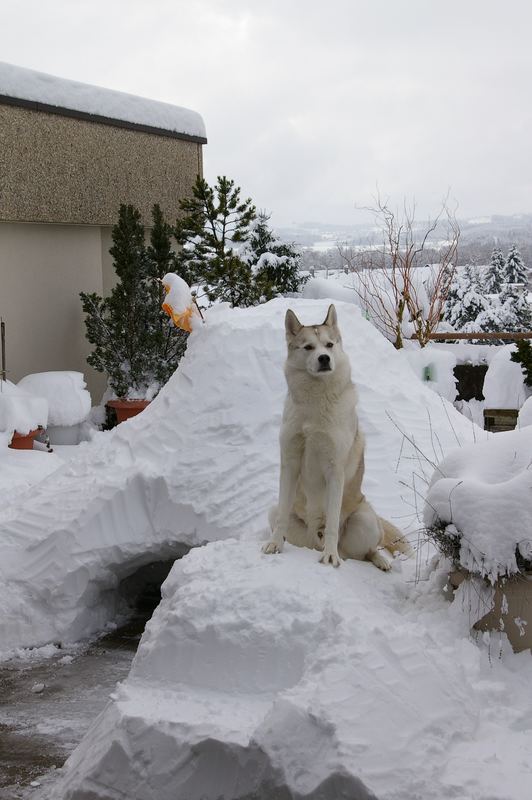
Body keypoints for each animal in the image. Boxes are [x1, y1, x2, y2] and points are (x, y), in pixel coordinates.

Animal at [262, 302, 412, 568]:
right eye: (308, 347)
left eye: (329, 345)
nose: (324, 358)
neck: (315, 404)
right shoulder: (289, 463)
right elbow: (281, 519)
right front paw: (275, 544)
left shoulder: (335, 470)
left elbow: (332, 521)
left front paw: (330, 557)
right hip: (279, 513)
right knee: (284, 518)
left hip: (364, 519)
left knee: (365, 552)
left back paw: (374, 560)